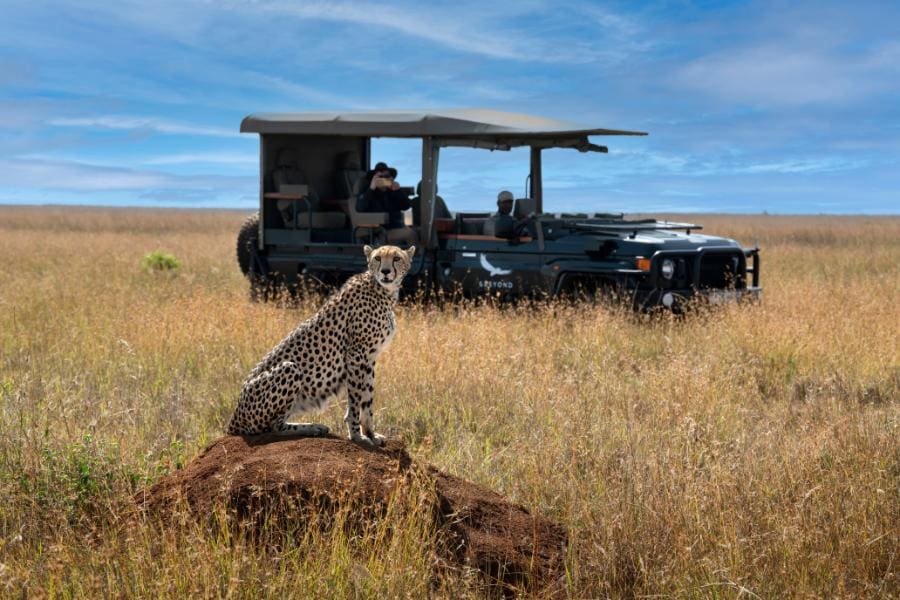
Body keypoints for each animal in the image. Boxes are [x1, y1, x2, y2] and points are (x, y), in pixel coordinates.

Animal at [226, 244, 416, 446]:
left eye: (396, 258)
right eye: (378, 258)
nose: (385, 271)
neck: (382, 290)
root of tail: (233, 420)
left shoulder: (370, 358)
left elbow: (367, 398)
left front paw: (371, 433)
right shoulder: (356, 354)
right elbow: (356, 399)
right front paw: (357, 436)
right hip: (289, 368)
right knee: (272, 427)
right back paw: (312, 427)